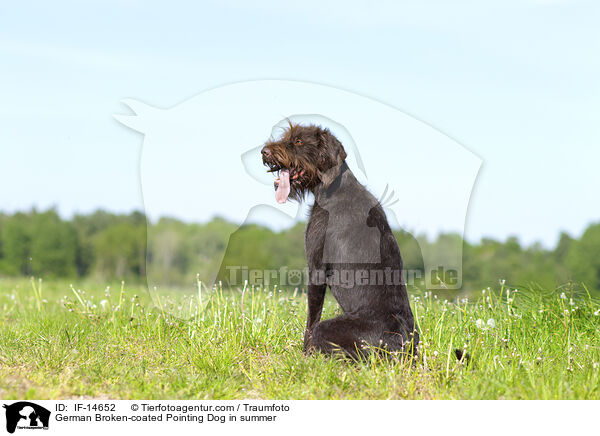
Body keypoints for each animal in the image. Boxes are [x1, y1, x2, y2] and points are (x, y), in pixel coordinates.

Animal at [260, 121, 420, 360]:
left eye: (298, 141)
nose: (265, 152)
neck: (332, 187)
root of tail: (402, 347)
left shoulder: (316, 268)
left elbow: (311, 320)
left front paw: (304, 355)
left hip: (330, 330)